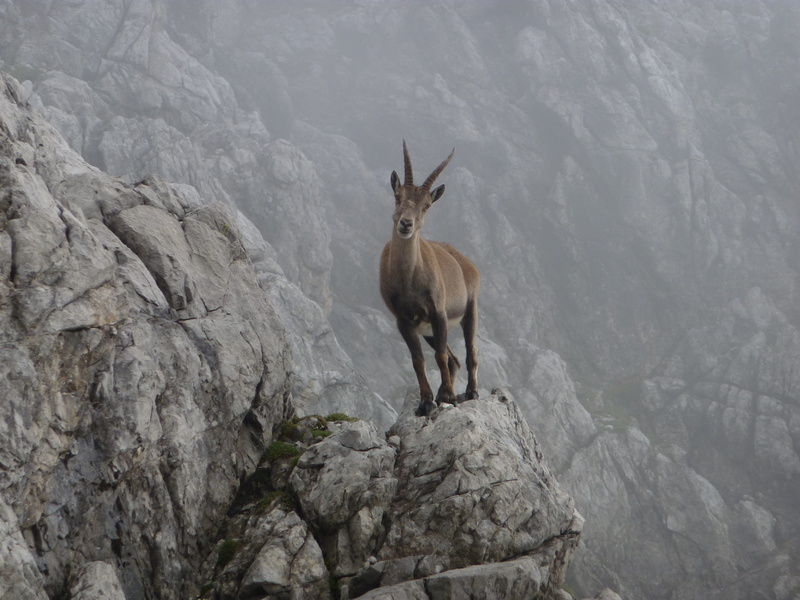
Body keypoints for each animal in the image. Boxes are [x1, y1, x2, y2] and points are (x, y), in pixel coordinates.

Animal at [379, 141, 481, 416]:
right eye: (398, 196)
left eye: (426, 205)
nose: (406, 224)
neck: (409, 281)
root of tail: (466, 262)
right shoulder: (405, 321)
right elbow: (418, 360)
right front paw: (425, 402)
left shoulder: (439, 313)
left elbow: (439, 358)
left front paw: (447, 396)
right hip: (428, 331)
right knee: (454, 359)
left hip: (470, 309)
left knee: (469, 352)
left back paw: (470, 392)